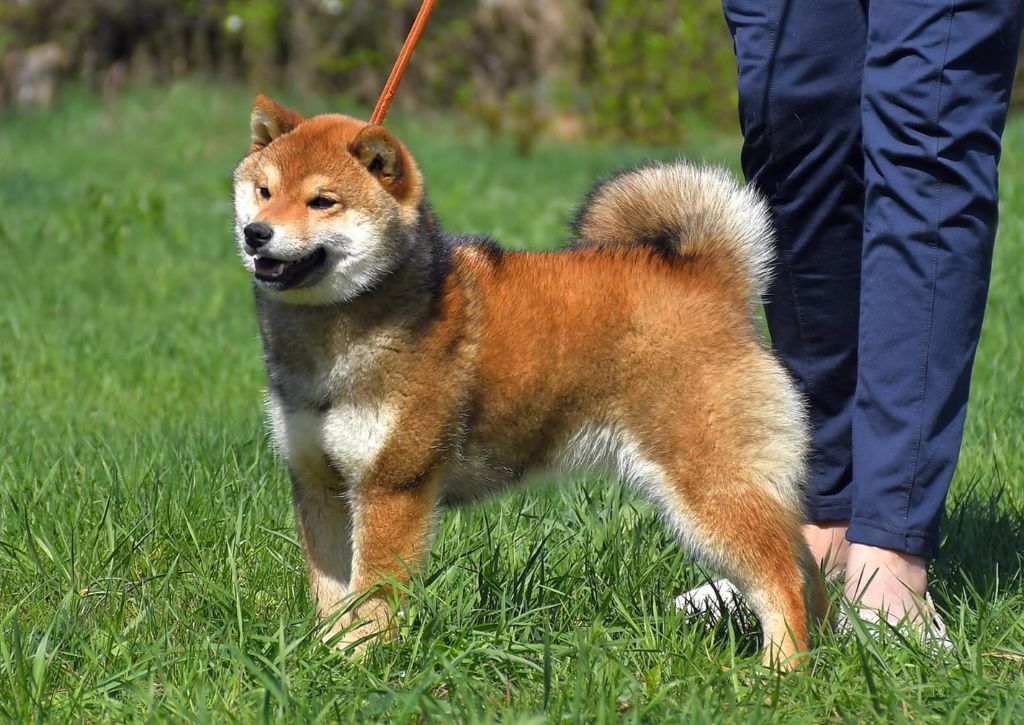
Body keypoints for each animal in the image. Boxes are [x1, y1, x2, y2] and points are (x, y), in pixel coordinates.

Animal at [232, 95, 828, 669]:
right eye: (264, 191)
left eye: (322, 201)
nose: (255, 232)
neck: (337, 333)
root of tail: (709, 277)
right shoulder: (320, 485)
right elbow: (333, 594)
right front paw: (323, 656)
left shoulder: (391, 487)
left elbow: (371, 597)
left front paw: (359, 662)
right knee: (806, 565)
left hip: (709, 484)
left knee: (780, 579)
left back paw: (780, 670)